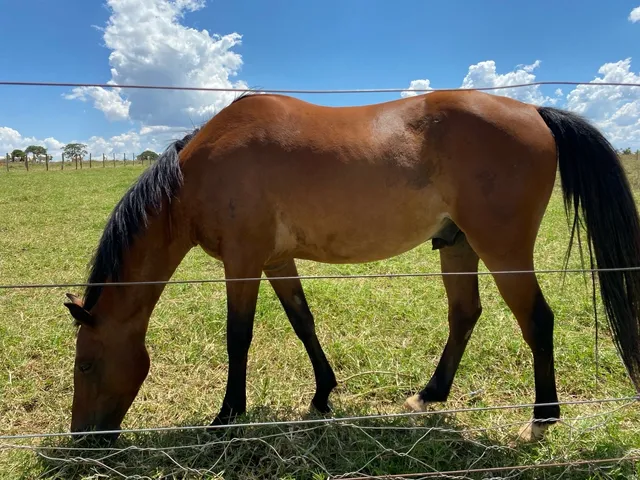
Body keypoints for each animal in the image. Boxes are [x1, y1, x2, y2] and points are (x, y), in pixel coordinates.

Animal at [63, 89, 640, 442]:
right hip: (457, 245)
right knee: (465, 315)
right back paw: (428, 396)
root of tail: (535, 111)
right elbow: (303, 322)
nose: (84, 438)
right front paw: (322, 394)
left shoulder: (243, 260)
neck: (197, 174)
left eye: (85, 365)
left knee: (537, 321)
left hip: (503, 251)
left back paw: (541, 420)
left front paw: (228, 416)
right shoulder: (276, 260)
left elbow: (238, 336)